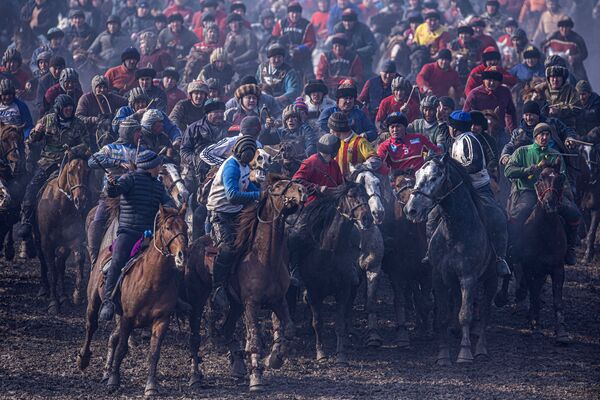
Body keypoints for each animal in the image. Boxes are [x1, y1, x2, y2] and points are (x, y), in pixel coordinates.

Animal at [34, 151, 90, 312]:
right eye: (70, 172)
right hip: (37, 238)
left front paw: (76, 295)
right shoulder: (46, 243)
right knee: (43, 261)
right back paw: (44, 289)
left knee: (60, 264)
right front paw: (53, 302)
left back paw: (64, 297)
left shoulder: (73, 239)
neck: (60, 206)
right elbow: (52, 270)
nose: (80, 200)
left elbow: (77, 260)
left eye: (88, 172)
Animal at [77, 206, 189, 396]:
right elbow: (122, 348)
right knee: (91, 326)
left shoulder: (161, 320)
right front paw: (114, 381)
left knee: (112, 338)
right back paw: (84, 360)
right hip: (94, 302)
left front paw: (150, 386)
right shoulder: (127, 318)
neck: (152, 280)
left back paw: (106, 371)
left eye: (186, 227)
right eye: (167, 228)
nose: (182, 255)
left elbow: (154, 353)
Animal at [288, 181, 372, 366]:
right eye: (351, 195)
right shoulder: (314, 292)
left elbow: (339, 323)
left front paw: (341, 355)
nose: (367, 218)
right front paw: (321, 354)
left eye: (367, 195)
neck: (329, 251)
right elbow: (318, 322)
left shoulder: (343, 290)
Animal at [386, 172, 434, 346]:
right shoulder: (400, 272)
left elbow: (426, 301)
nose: (411, 207)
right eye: (398, 185)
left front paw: (427, 329)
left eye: (413, 183)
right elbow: (403, 299)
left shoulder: (426, 272)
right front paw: (404, 333)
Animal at [406, 155, 500, 366]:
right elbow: (443, 316)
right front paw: (443, 355)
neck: (455, 231)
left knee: (486, 311)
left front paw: (465, 353)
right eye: (416, 174)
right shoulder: (438, 278)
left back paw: (481, 349)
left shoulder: (468, 278)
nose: (411, 209)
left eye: (434, 177)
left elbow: (465, 314)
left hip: (492, 278)